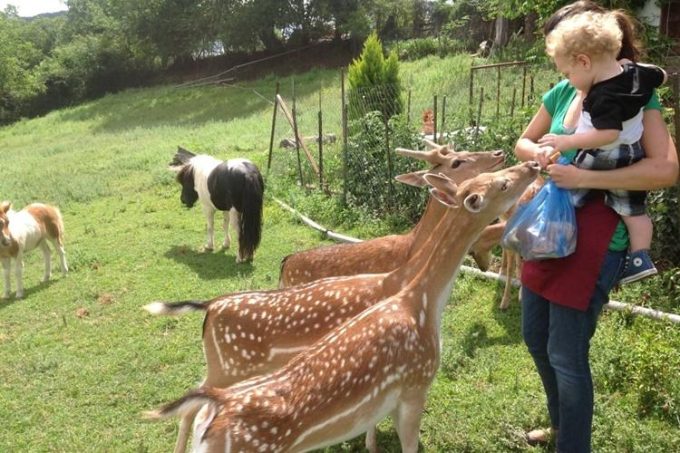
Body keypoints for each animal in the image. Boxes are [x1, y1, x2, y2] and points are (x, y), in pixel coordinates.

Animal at [145, 161, 540, 450]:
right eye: (502, 184)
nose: (532, 164)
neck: (421, 302)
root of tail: (209, 306)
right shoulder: (416, 384)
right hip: (230, 370)